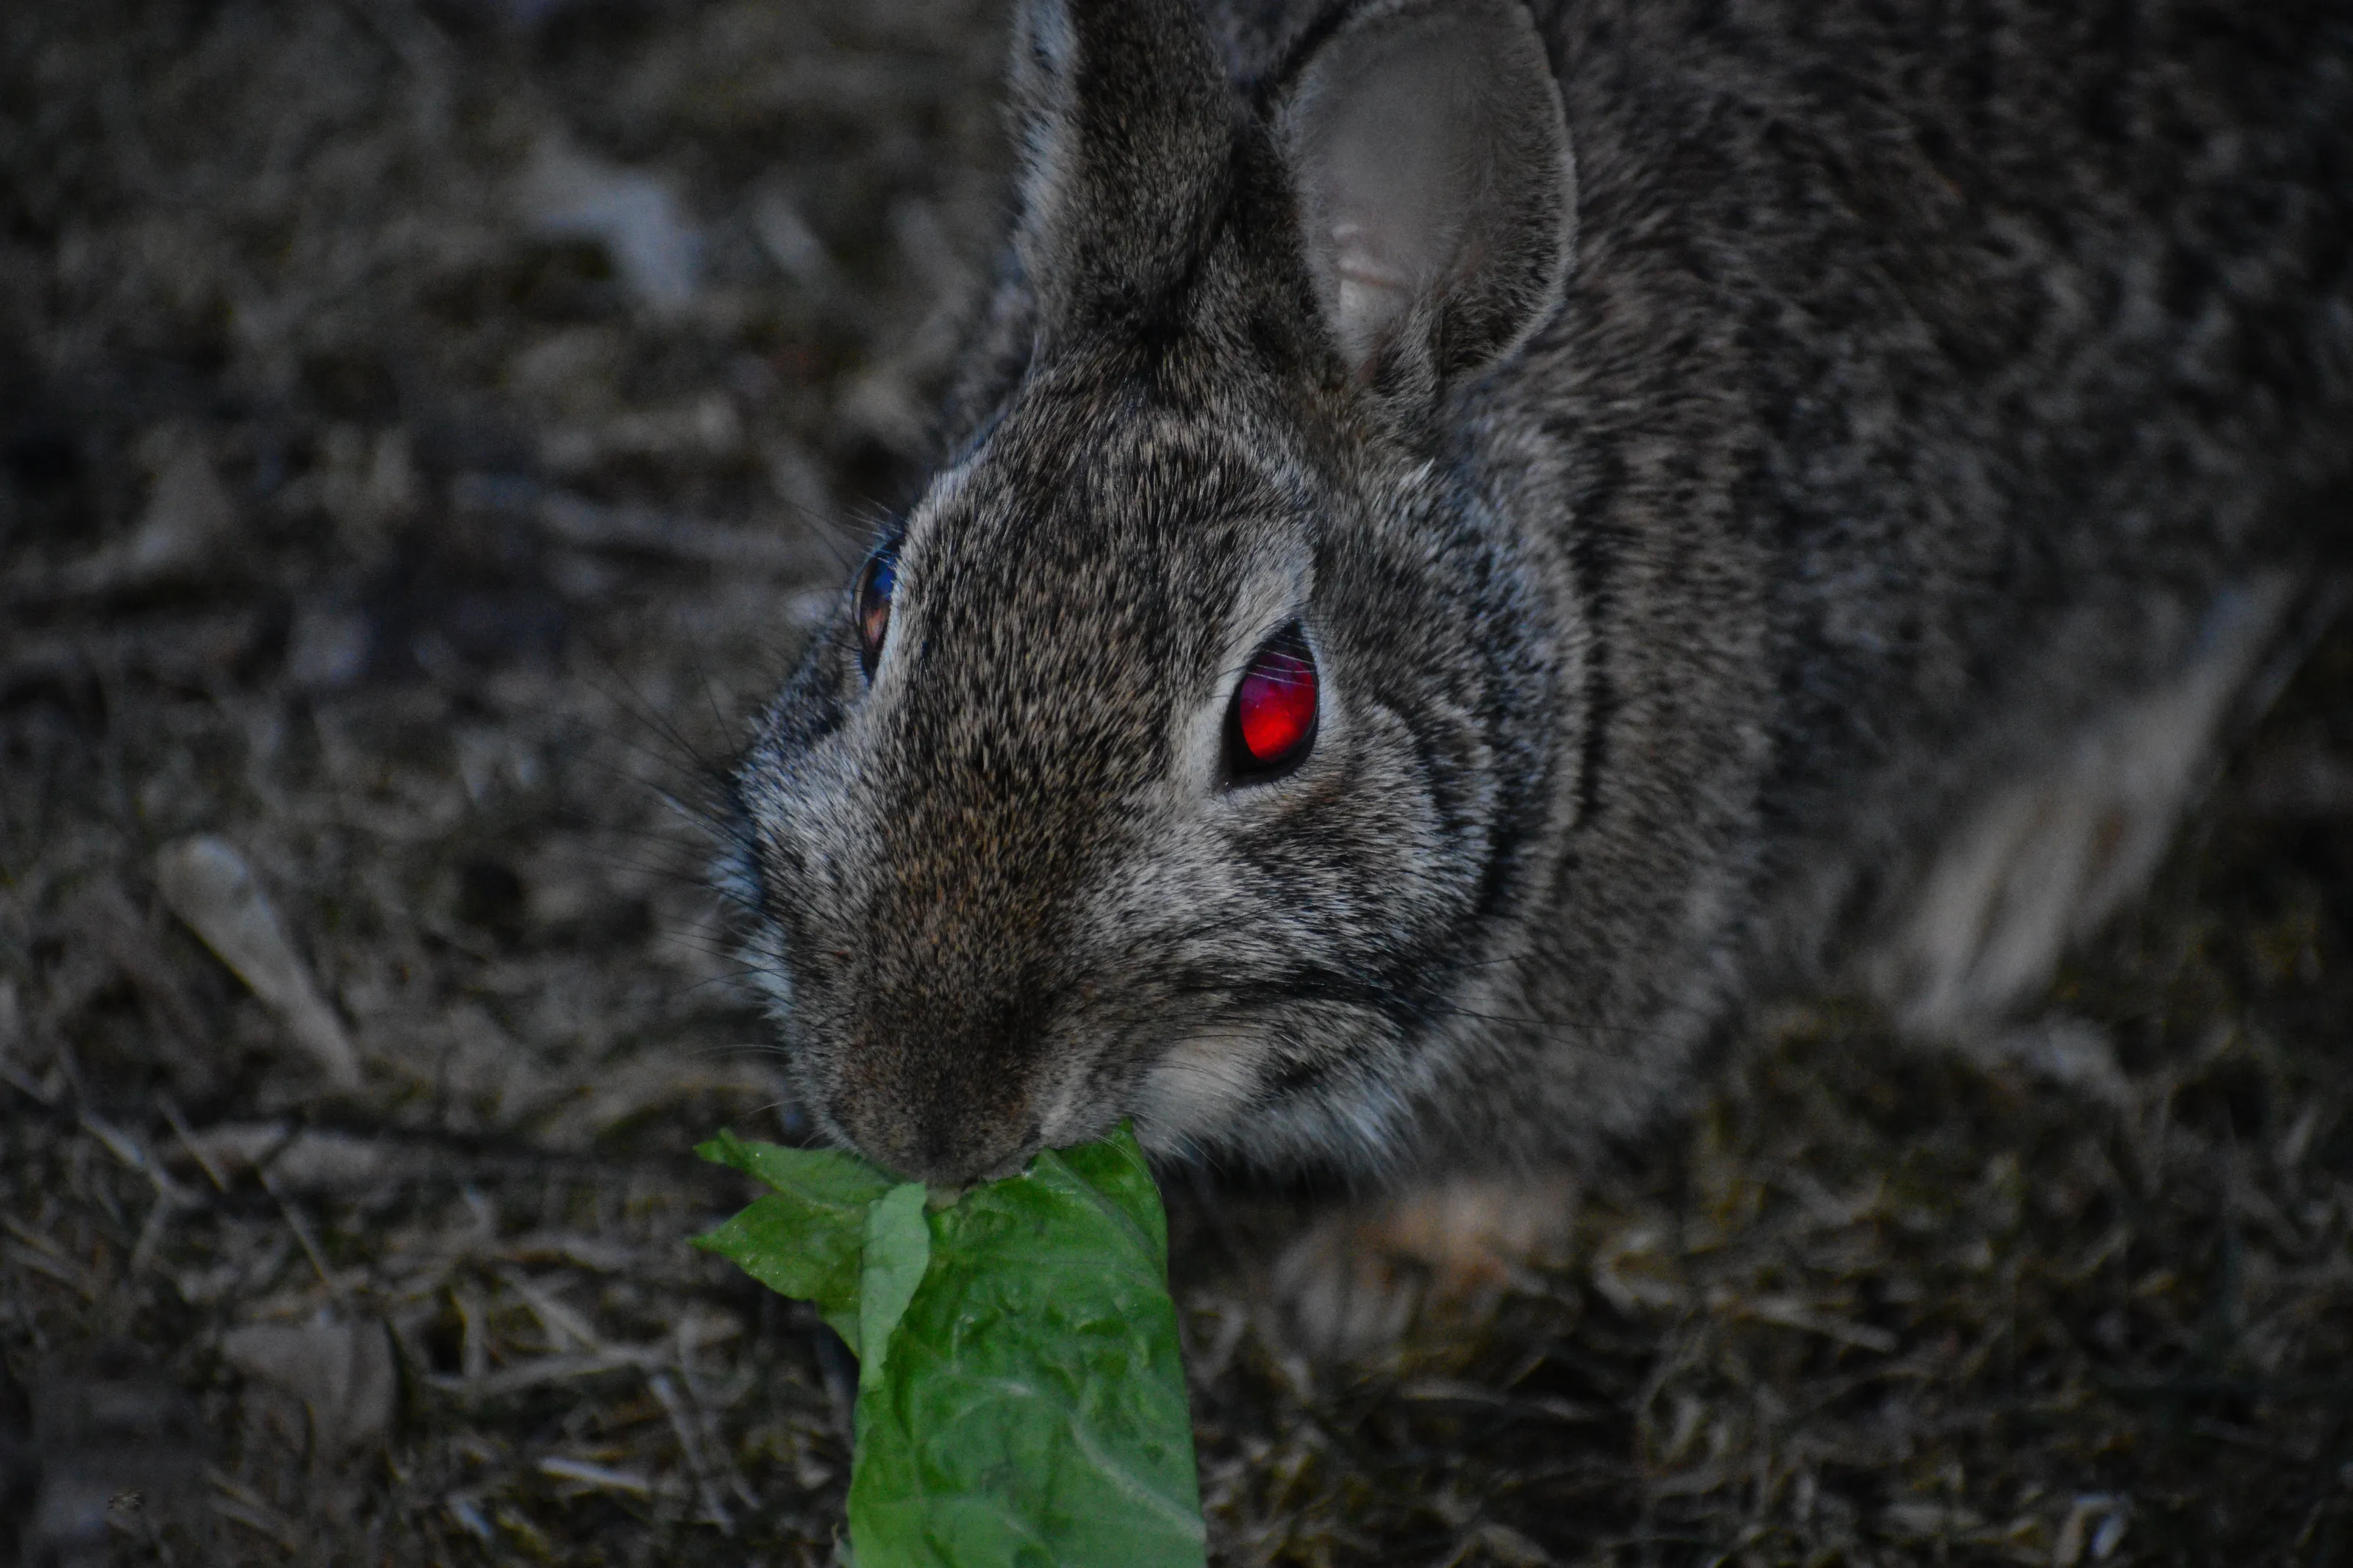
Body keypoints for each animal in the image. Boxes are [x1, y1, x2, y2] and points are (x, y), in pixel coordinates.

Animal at [722, 0, 2353, 1195]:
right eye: (877, 603)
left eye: (1274, 716)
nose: (919, 1123)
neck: (1554, 620)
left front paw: (1371, 1283)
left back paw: (2013, 878)